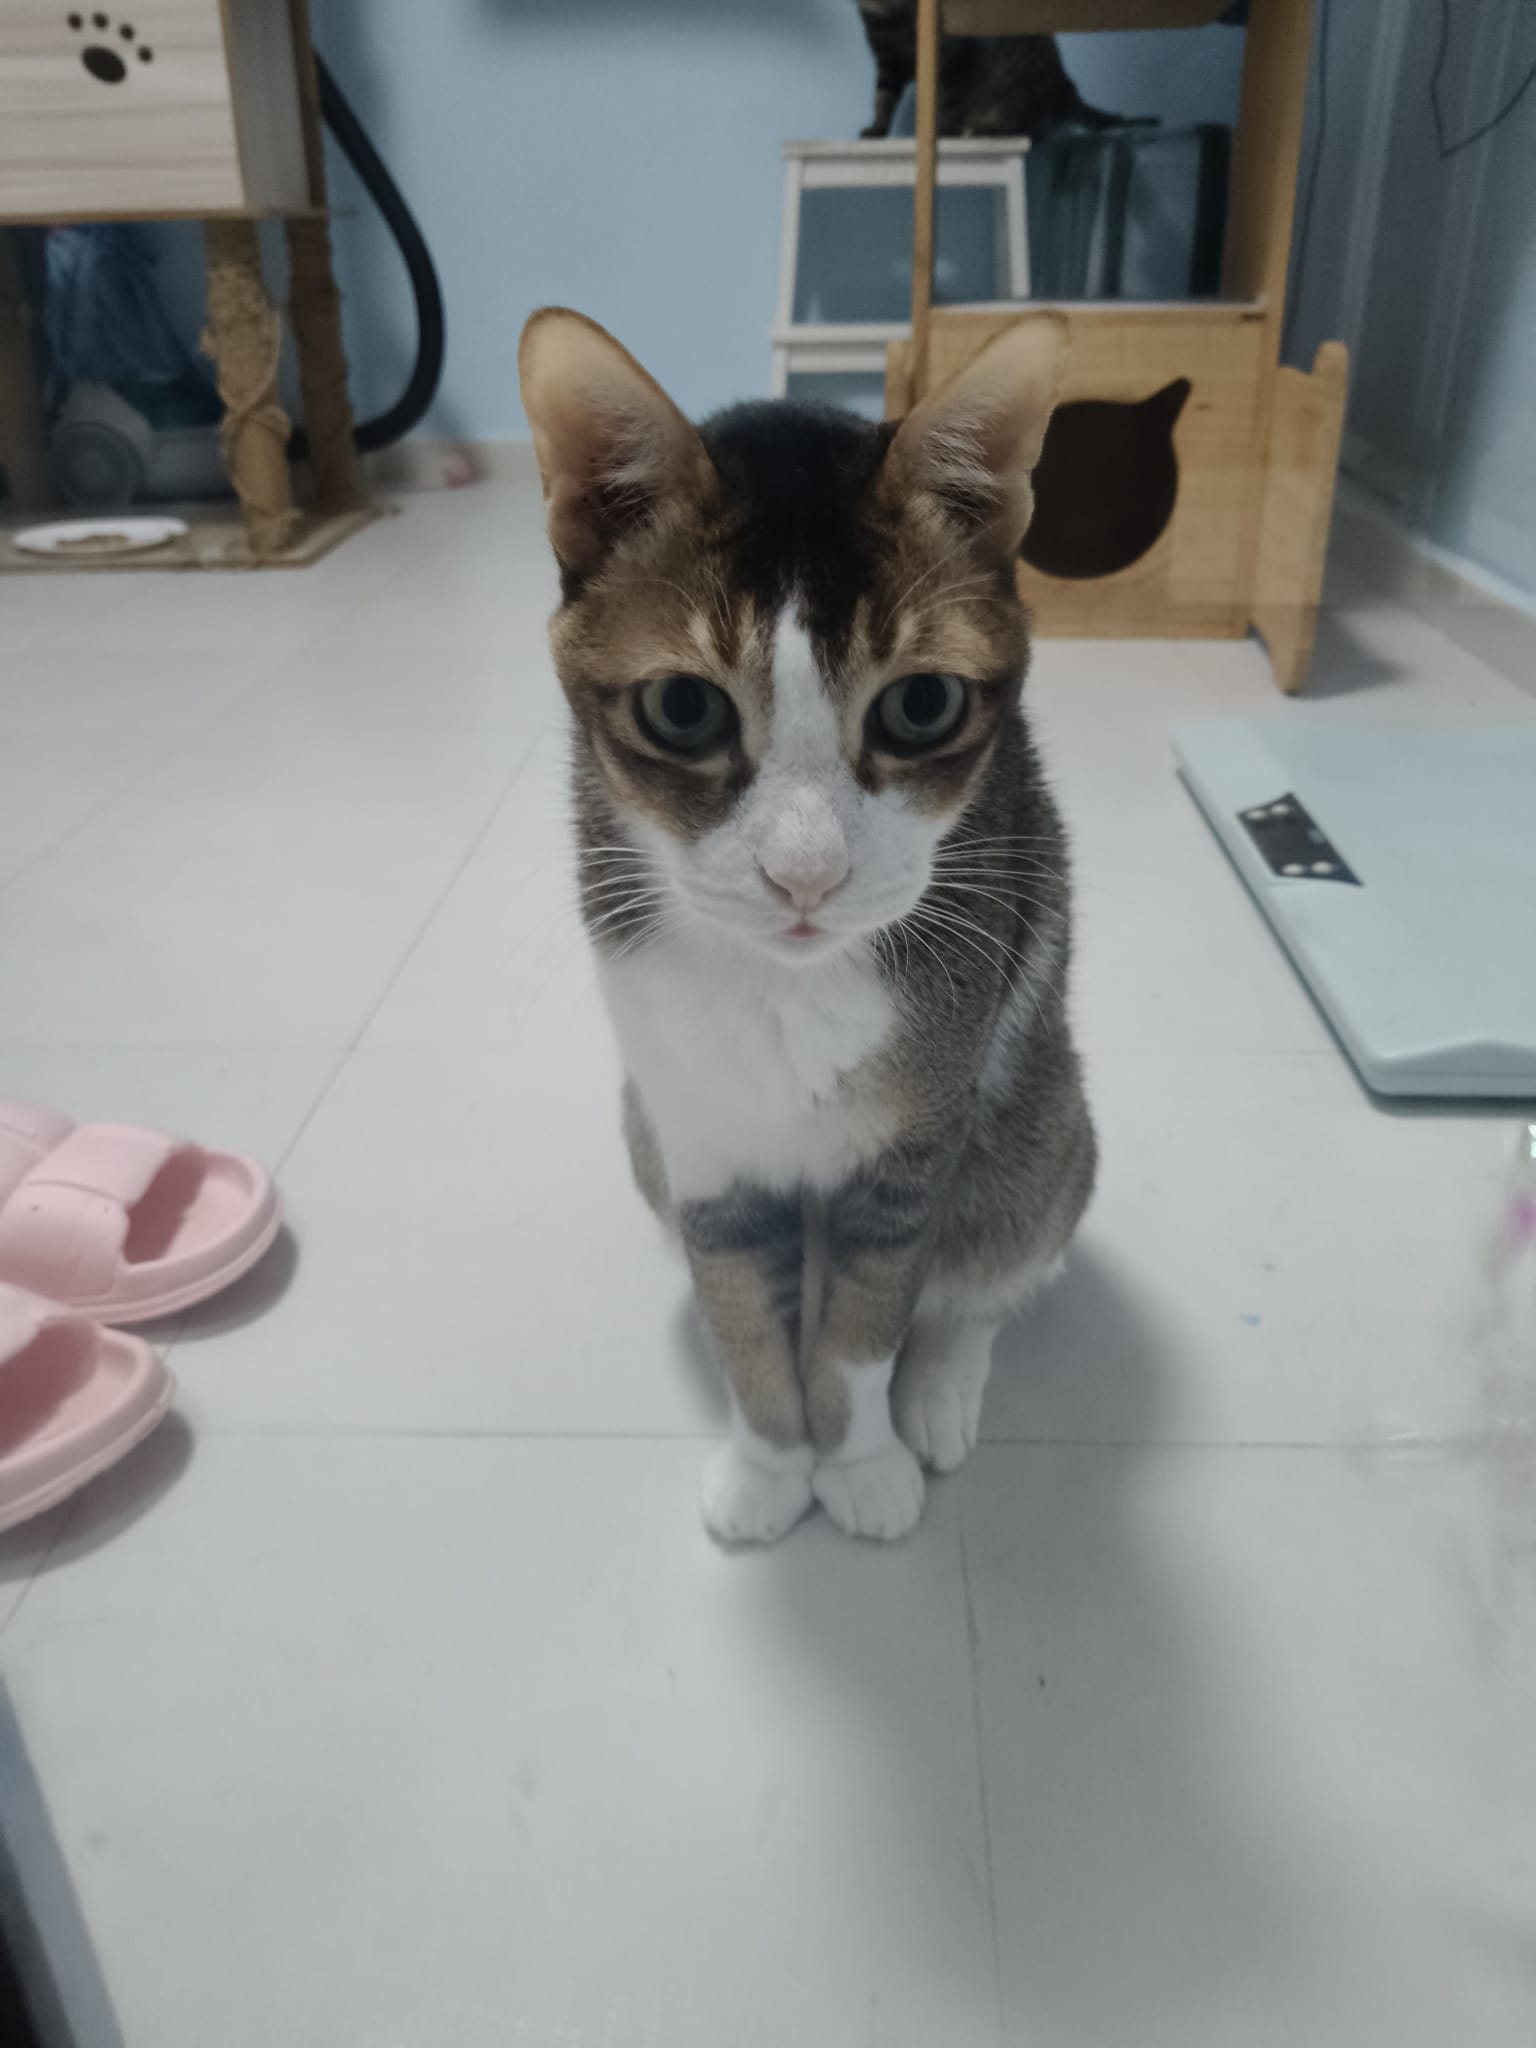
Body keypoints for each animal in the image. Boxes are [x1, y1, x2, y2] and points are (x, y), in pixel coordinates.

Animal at [519, 309, 1097, 1545]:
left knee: (994, 1263)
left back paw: (940, 1393)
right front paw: (769, 1464)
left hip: (1037, 1128)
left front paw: (861, 1460)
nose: (805, 873)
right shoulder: (700, 1146)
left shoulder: (917, 1145)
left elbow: (869, 1322)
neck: (785, 991)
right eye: (682, 707)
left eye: (921, 702)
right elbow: (746, 1320)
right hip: (640, 1131)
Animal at [853, 1, 1153, 142]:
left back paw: (982, 129)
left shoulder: (954, 58)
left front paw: (941, 132)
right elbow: (882, 101)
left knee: (1033, 130)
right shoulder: (888, 67)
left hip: (1016, 83)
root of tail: (1065, 85)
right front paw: (876, 130)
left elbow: (947, 103)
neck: (890, 25)